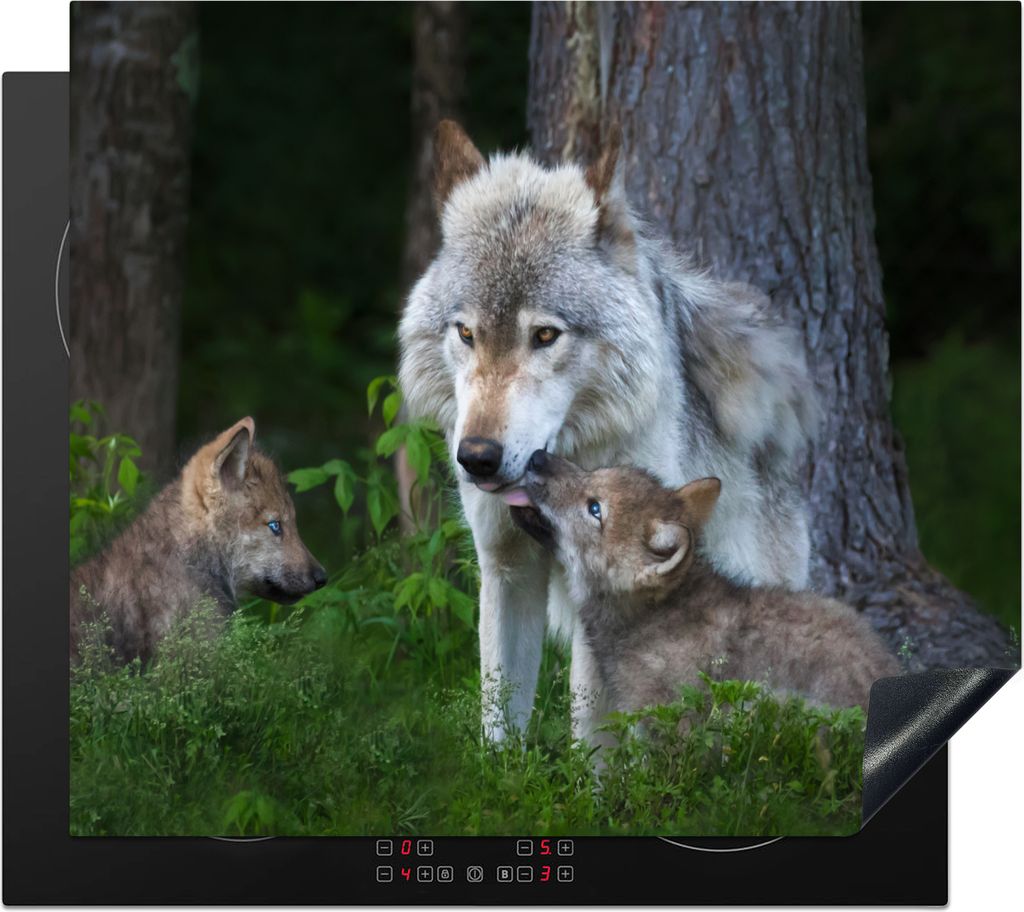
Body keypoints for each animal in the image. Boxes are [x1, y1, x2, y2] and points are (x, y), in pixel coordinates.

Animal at [398, 121, 818, 742]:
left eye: (545, 336)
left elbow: (592, 740)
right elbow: (499, 725)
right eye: (466, 333)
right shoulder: (506, 570)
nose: (476, 458)